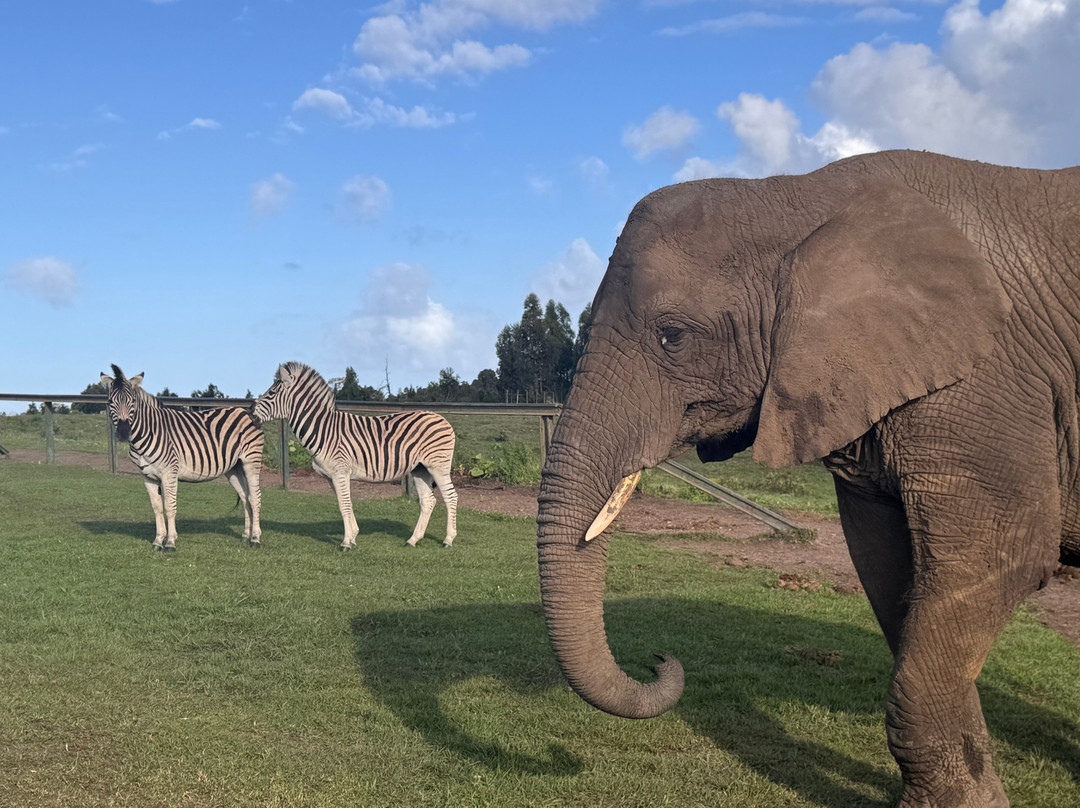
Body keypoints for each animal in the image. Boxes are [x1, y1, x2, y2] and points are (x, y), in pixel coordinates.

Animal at [536, 150, 1080, 807]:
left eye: (673, 336)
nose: (660, 659)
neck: (799, 195)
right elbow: (894, 571)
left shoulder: (988, 382)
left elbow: (1001, 560)